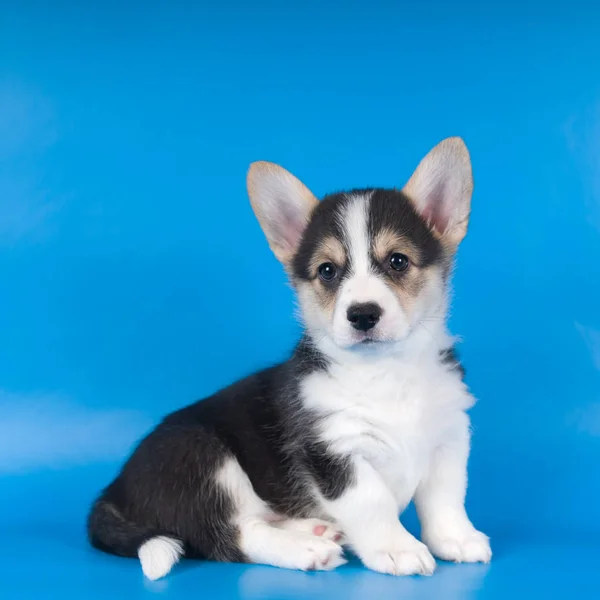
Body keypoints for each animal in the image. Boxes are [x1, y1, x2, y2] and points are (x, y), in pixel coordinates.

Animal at [89, 137, 492, 580]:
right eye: (328, 270)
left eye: (398, 260)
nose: (362, 315)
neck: (386, 371)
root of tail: (113, 493)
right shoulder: (333, 451)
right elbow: (373, 502)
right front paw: (397, 548)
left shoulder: (449, 438)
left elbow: (446, 498)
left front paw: (456, 538)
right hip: (204, 458)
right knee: (231, 536)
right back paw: (305, 548)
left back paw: (313, 528)